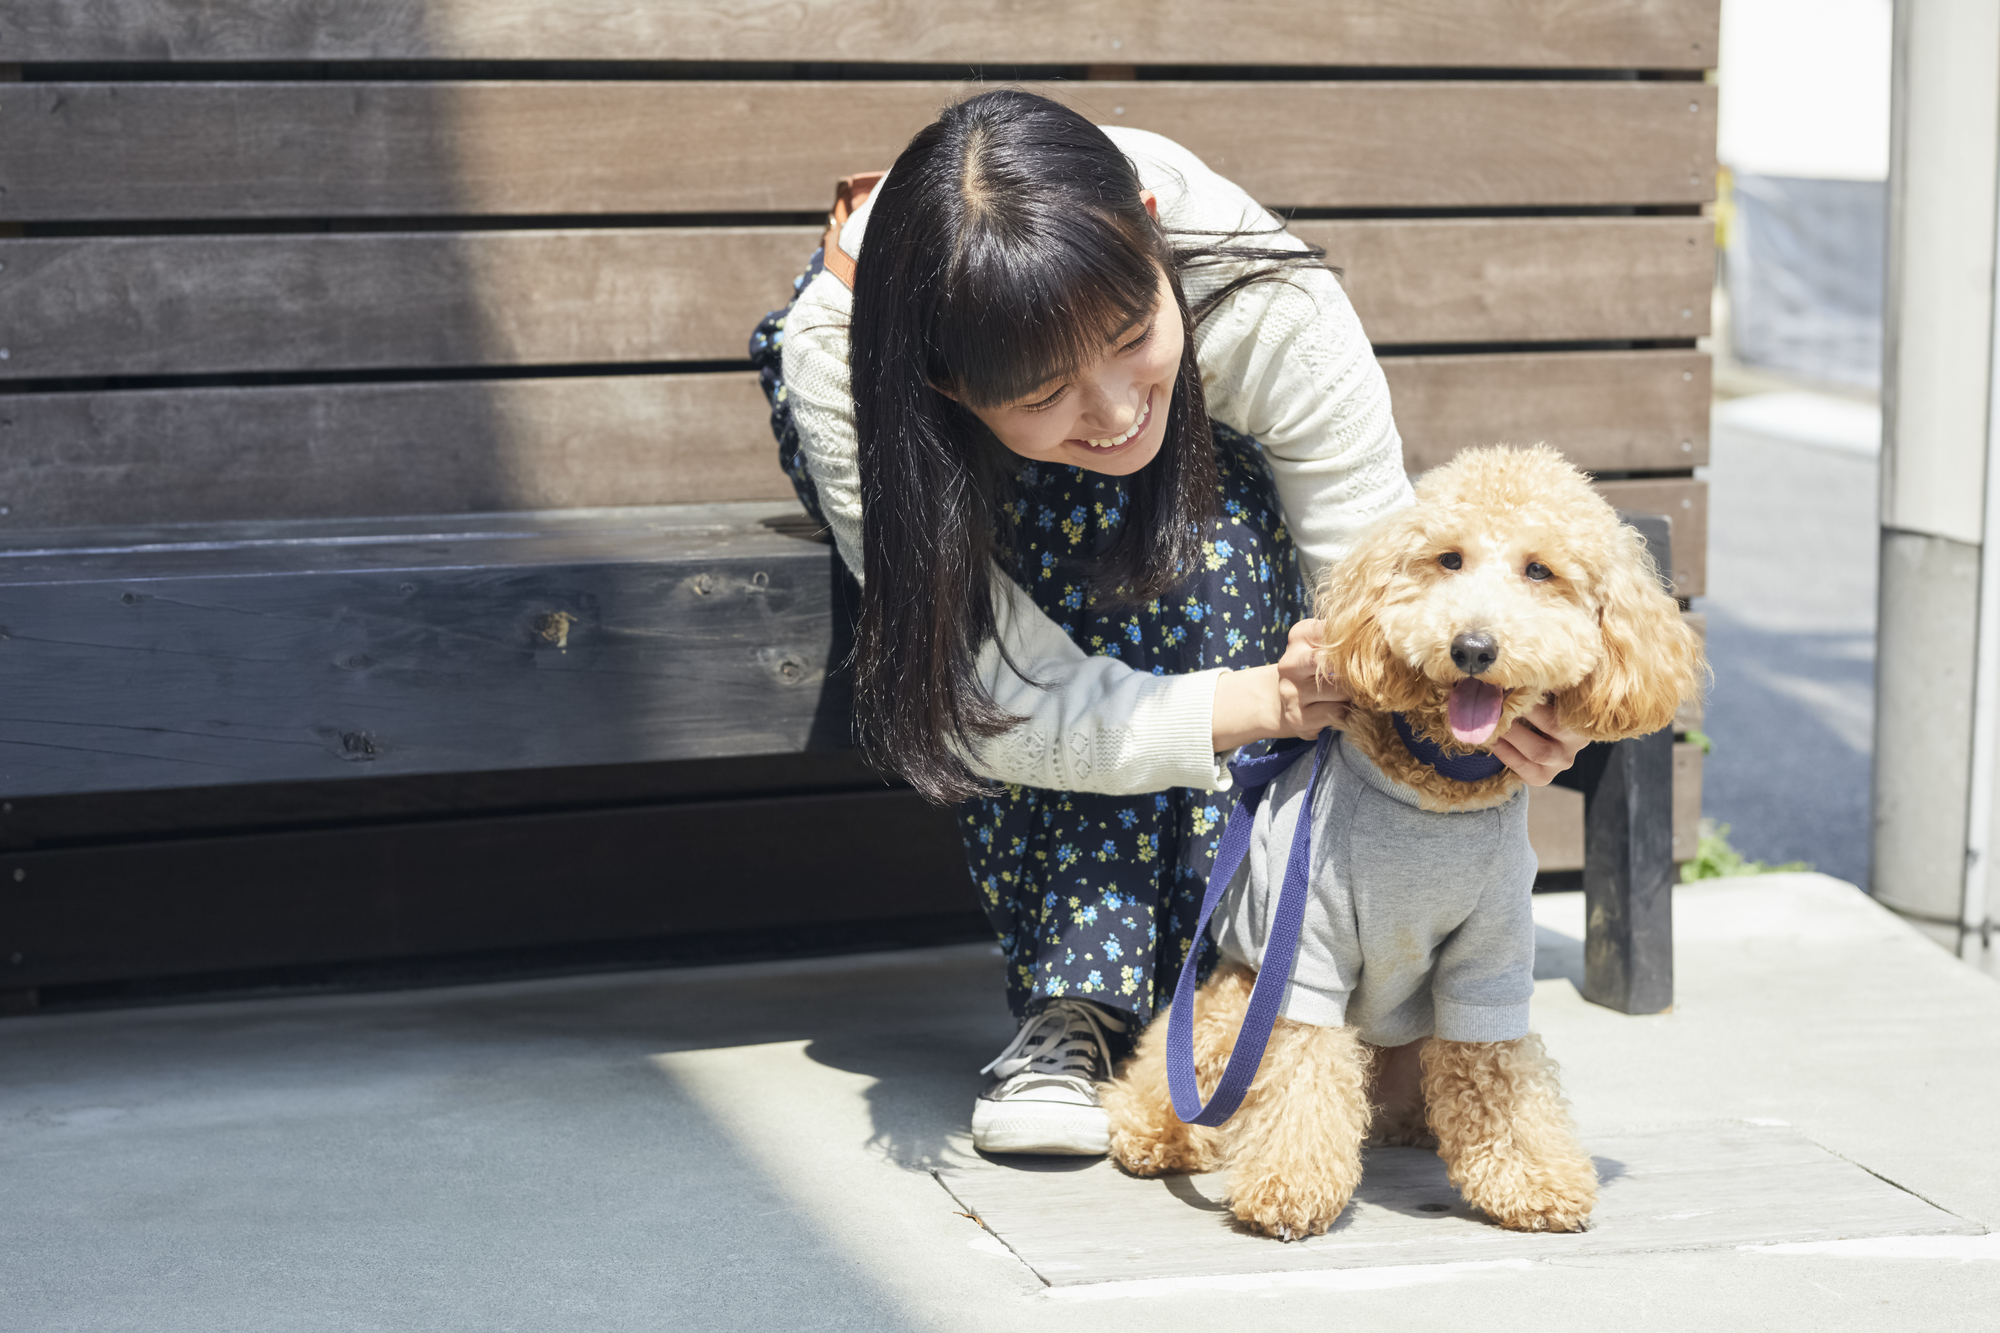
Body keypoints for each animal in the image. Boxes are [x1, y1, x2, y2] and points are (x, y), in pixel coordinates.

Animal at [1112, 444, 1704, 1232]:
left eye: (1539, 570)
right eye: (1448, 559)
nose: (1473, 647)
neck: (1437, 786)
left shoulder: (1493, 956)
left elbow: (1500, 1071)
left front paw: (1535, 1179)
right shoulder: (1308, 946)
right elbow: (1301, 1068)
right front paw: (1289, 1187)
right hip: (1236, 996)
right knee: (1184, 1067)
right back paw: (1160, 1133)